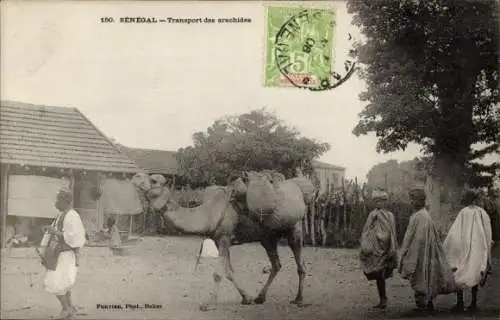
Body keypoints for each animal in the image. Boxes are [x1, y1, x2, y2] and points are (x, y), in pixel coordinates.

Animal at [131, 172, 314, 310]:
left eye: (153, 180)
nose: (135, 176)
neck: (207, 214)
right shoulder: (219, 241)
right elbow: (229, 271)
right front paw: (247, 298)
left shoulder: (225, 236)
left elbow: (218, 273)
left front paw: (209, 304)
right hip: (267, 238)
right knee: (276, 265)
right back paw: (260, 298)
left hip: (294, 228)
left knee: (300, 264)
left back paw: (299, 299)